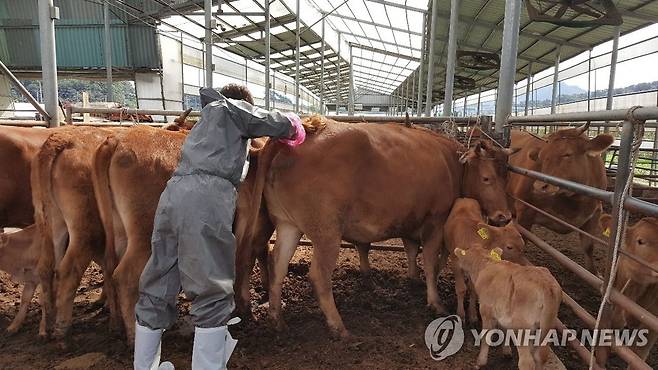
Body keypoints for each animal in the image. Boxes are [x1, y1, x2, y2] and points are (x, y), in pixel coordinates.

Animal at [245, 118, 512, 336]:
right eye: (486, 178)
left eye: (507, 177)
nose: (505, 216)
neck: (449, 163)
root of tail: (307, 128)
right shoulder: (435, 220)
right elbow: (429, 260)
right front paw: (435, 302)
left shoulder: (411, 221)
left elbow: (411, 250)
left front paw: (413, 280)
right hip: (327, 231)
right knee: (319, 275)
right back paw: (338, 327)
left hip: (288, 224)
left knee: (277, 265)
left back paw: (277, 320)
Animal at [508, 123, 608, 274]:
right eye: (542, 156)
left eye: (567, 154)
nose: (539, 186)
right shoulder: (524, 210)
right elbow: (522, 240)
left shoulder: (595, 214)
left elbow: (588, 248)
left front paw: (594, 273)